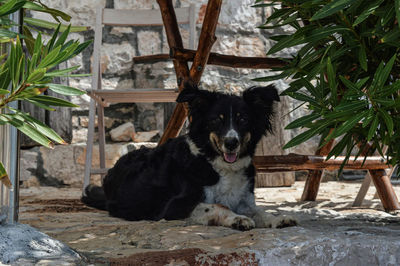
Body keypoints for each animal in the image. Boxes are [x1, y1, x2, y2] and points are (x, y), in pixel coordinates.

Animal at [81, 83, 296, 231]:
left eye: (243, 119)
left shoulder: (245, 200)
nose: (231, 143)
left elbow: (260, 211)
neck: (218, 165)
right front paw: (238, 219)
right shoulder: (174, 207)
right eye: (216, 120)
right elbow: (217, 206)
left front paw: (277, 218)